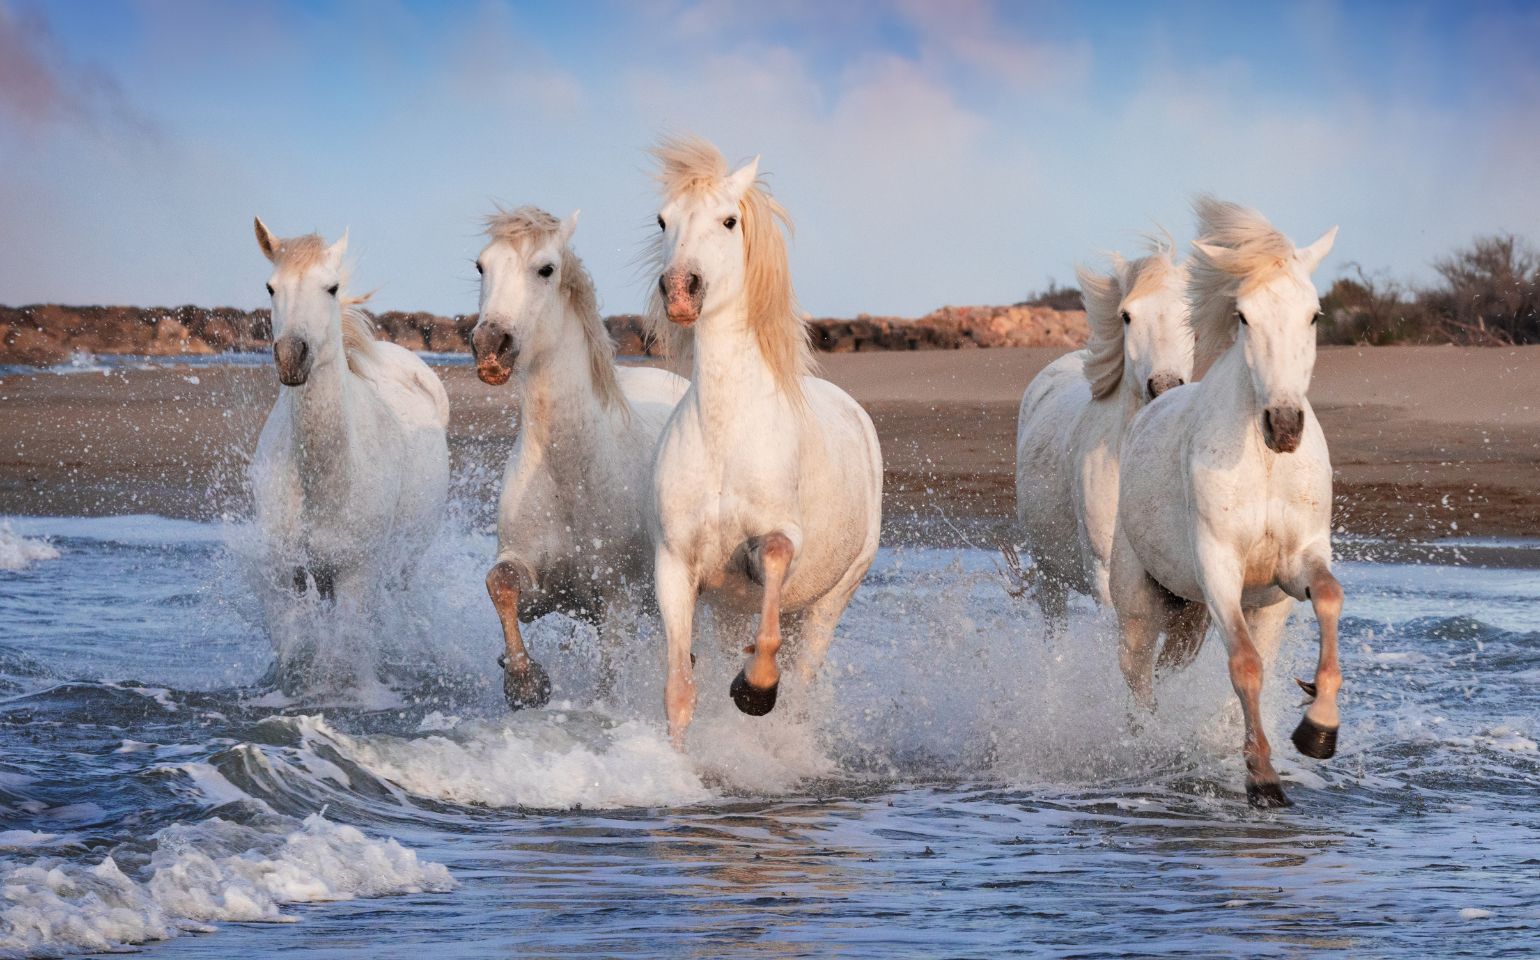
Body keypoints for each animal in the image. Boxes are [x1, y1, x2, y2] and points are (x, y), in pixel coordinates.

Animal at [249, 219, 450, 611]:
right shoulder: (291, 579)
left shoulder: (356, 580)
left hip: (405, 564)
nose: (291, 356)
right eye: (270, 287)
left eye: (332, 287)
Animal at [470, 206, 689, 710]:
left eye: (546, 269)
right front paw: (524, 681)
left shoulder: (618, 603)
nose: (490, 347)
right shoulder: (542, 588)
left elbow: (608, 679)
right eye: (481, 266)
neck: (570, 473)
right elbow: (500, 584)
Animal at [645, 137, 883, 748]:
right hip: (730, 609)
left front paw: (755, 689)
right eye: (663, 220)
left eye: (729, 220)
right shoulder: (676, 564)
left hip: (831, 601)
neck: (726, 433)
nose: (680, 291)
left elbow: (773, 560)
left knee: (802, 682)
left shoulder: (780, 540)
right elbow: (678, 690)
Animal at [1108, 197, 1342, 808]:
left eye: (1314, 315)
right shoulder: (1218, 567)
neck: (1264, 465)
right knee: (1138, 676)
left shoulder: (1298, 562)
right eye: (1244, 316)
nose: (1284, 426)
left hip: (1221, 613)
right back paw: (1146, 748)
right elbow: (1243, 665)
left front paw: (1318, 729)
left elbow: (1329, 599)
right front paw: (1262, 780)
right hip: (1140, 604)